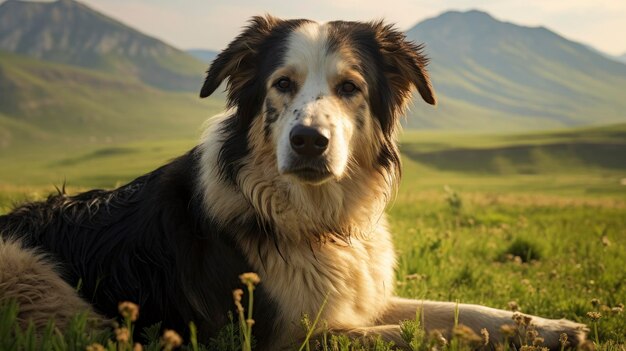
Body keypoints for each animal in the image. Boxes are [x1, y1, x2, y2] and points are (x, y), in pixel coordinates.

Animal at [0, 15, 584, 350]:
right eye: (283, 84)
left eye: (349, 88)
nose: (308, 141)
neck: (318, 218)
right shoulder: (281, 337)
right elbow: (410, 335)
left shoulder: (361, 299)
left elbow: (461, 312)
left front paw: (550, 328)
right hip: (29, 273)